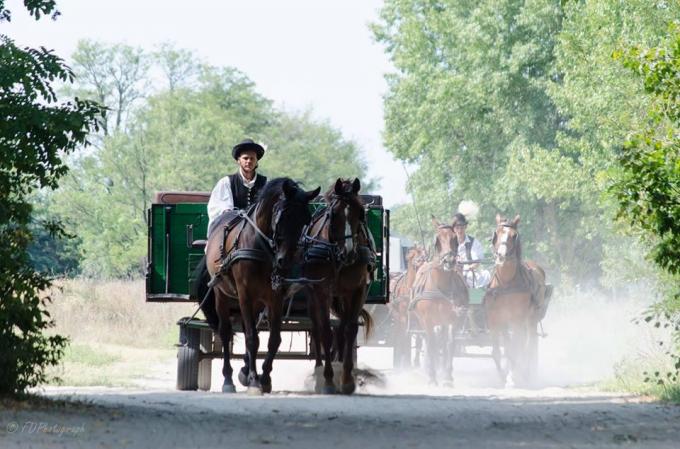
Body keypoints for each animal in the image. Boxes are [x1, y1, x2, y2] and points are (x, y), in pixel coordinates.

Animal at [205, 177, 318, 394]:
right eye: (282, 216)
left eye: (305, 220)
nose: (285, 261)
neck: (261, 246)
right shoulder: (245, 295)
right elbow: (251, 338)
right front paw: (254, 381)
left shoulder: (276, 297)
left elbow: (273, 340)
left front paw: (264, 378)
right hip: (222, 294)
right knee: (225, 332)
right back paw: (229, 379)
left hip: (258, 302)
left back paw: (245, 370)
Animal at [302, 177, 374, 394]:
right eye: (334, 214)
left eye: (361, 212)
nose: (349, 252)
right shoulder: (321, 291)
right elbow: (325, 331)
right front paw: (327, 380)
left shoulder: (357, 290)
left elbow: (350, 330)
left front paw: (347, 379)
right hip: (312, 294)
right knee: (317, 329)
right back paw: (318, 370)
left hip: (342, 295)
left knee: (341, 331)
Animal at [412, 217, 470, 384]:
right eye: (437, 239)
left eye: (455, 238)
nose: (448, 261)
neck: (440, 286)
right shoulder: (427, 320)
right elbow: (431, 343)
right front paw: (432, 377)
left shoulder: (453, 318)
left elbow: (449, 343)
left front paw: (447, 376)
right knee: (429, 341)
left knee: (443, 342)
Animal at [486, 214, 548, 384]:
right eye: (496, 233)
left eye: (514, 236)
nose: (501, 256)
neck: (506, 284)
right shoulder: (495, 320)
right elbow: (498, 351)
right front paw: (503, 376)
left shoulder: (517, 320)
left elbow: (516, 348)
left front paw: (512, 377)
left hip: (531, 320)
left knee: (529, 344)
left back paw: (526, 373)